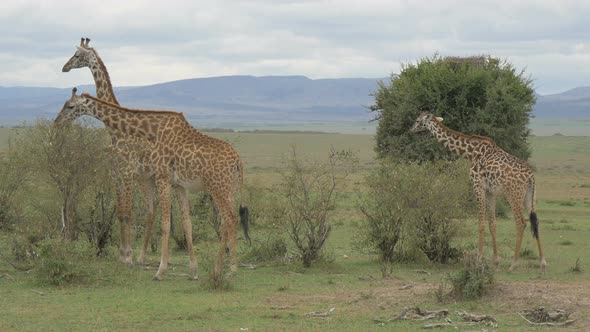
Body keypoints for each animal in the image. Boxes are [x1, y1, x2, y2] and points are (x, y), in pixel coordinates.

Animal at [55, 88, 250, 280]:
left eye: (70, 106)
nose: (57, 122)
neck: (152, 131)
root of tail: (238, 161)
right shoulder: (178, 184)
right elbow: (186, 223)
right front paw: (193, 270)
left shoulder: (162, 177)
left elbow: (165, 223)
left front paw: (160, 270)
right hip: (229, 190)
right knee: (226, 221)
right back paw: (219, 269)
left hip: (218, 188)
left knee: (230, 219)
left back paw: (230, 269)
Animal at [62, 37, 161, 264]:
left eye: (77, 55)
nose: (64, 67)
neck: (113, 129)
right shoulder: (116, 173)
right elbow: (121, 213)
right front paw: (123, 255)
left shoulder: (127, 173)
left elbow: (128, 213)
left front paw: (127, 257)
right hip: (146, 179)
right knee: (152, 211)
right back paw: (144, 256)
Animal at [410, 111, 548, 272]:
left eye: (418, 120)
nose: (411, 129)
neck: (470, 153)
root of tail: (531, 177)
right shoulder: (490, 192)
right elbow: (492, 224)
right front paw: (495, 262)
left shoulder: (477, 185)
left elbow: (481, 222)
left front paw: (479, 259)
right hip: (529, 196)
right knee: (535, 221)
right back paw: (542, 262)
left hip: (513, 195)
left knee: (521, 223)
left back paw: (513, 264)